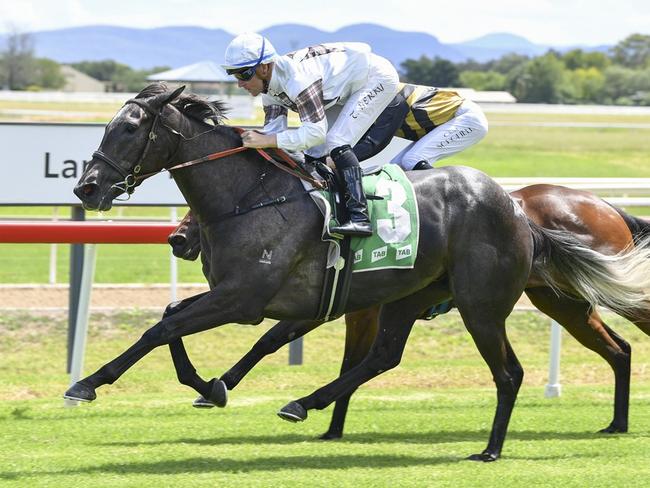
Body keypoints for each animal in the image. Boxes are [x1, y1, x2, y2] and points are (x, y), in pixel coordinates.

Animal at [170, 182, 648, 438]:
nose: (178, 239)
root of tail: (605, 205)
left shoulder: (353, 308)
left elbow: (286, 342)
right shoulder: (348, 308)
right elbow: (284, 344)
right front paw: (218, 388)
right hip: (564, 303)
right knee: (619, 349)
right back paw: (616, 422)